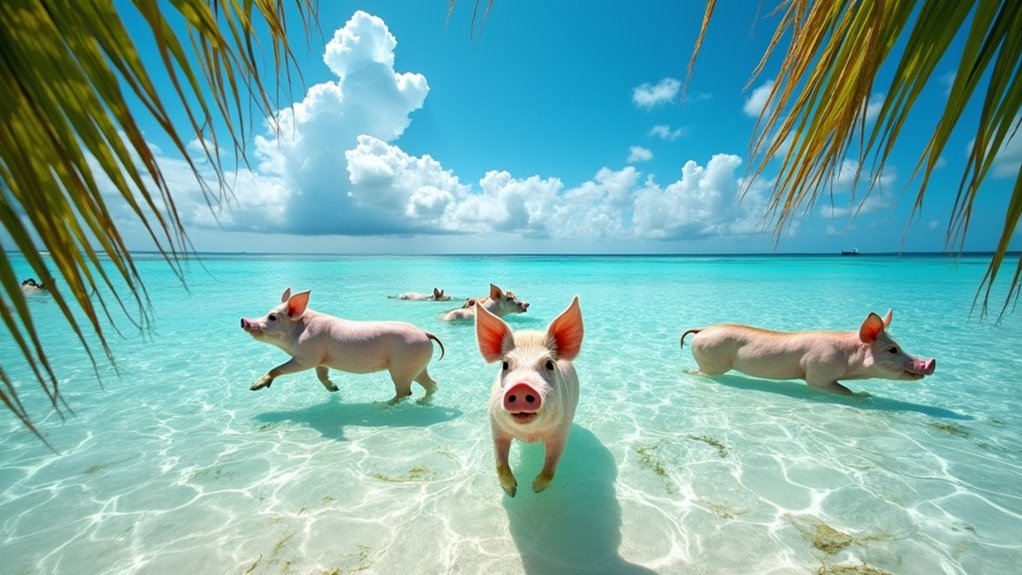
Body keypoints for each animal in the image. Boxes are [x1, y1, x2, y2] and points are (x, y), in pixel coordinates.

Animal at [241, 288, 445, 403]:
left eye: (272, 317)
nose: (243, 320)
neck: (299, 330)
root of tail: (425, 333)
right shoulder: (321, 360)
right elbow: (321, 375)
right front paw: (335, 389)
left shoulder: (307, 356)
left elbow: (278, 368)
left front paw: (254, 388)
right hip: (417, 364)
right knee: (432, 384)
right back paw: (422, 402)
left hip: (402, 365)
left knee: (405, 391)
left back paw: (383, 404)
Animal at [476, 295, 584, 497]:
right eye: (505, 364)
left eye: (549, 364)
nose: (521, 387)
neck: (529, 434)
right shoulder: (495, 425)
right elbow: (500, 462)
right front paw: (512, 492)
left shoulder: (561, 431)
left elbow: (550, 467)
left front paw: (535, 489)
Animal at [680, 309, 936, 395]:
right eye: (892, 349)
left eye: (899, 345)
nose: (931, 361)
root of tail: (701, 329)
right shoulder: (819, 372)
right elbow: (842, 390)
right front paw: (865, 396)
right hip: (711, 361)